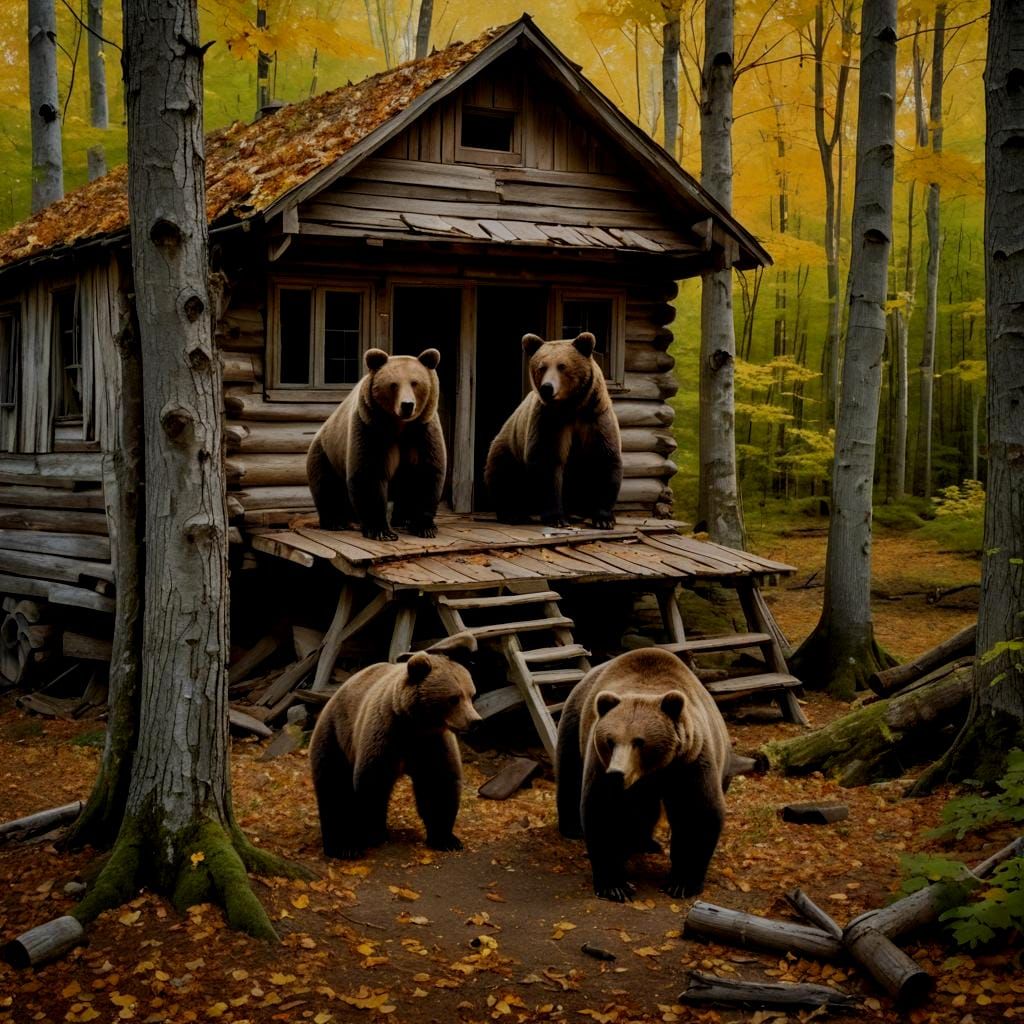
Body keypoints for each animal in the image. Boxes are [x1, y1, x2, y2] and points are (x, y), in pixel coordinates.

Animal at [306, 347, 445, 541]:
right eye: (393, 384)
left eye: (415, 383)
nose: (407, 405)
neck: (400, 426)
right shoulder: (371, 427)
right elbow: (369, 473)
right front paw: (381, 531)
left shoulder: (422, 430)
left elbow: (426, 473)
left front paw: (425, 527)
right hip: (326, 453)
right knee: (327, 487)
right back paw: (336, 521)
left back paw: (403, 519)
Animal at [308, 632, 480, 859]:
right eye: (454, 698)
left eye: (471, 694)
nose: (475, 721)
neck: (415, 725)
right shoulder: (386, 735)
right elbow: (372, 783)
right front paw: (372, 833)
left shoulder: (433, 743)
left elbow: (439, 784)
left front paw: (446, 839)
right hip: (335, 733)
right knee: (334, 787)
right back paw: (343, 846)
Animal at [484, 332, 621, 529]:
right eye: (542, 367)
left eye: (562, 366)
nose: (547, 388)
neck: (571, 407)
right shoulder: (550, 422)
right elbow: (547, 462)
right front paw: (556, 517)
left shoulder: (595, 416)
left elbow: (604, 458)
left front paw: (604, 519)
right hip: (509, 447)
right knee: (503, 476)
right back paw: (513, 514)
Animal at [555, 648, 731, 902]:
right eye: (610, 741)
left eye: (639, 741)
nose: (617, 774)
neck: (653, 770)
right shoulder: (600, 762)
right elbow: (604, 810)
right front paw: (616, 886)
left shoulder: (691, 761)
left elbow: (696, 813)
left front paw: (682, 884)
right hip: (576, 720)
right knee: (571, 772)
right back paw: (574, 829)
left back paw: (646, 843)